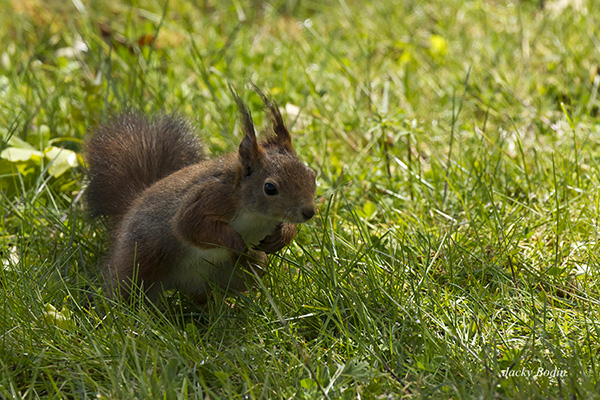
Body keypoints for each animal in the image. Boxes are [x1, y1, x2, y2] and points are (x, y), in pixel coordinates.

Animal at [87, 85, 318, 304]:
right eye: (270, 188)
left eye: (312, 174)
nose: (309, 212)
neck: (256, 215)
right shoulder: (209, 197)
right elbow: (189, 225)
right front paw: (236, 242)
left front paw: (282, 236)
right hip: (141, 258)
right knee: (126, 290)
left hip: (236, 273)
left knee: (208, 294)